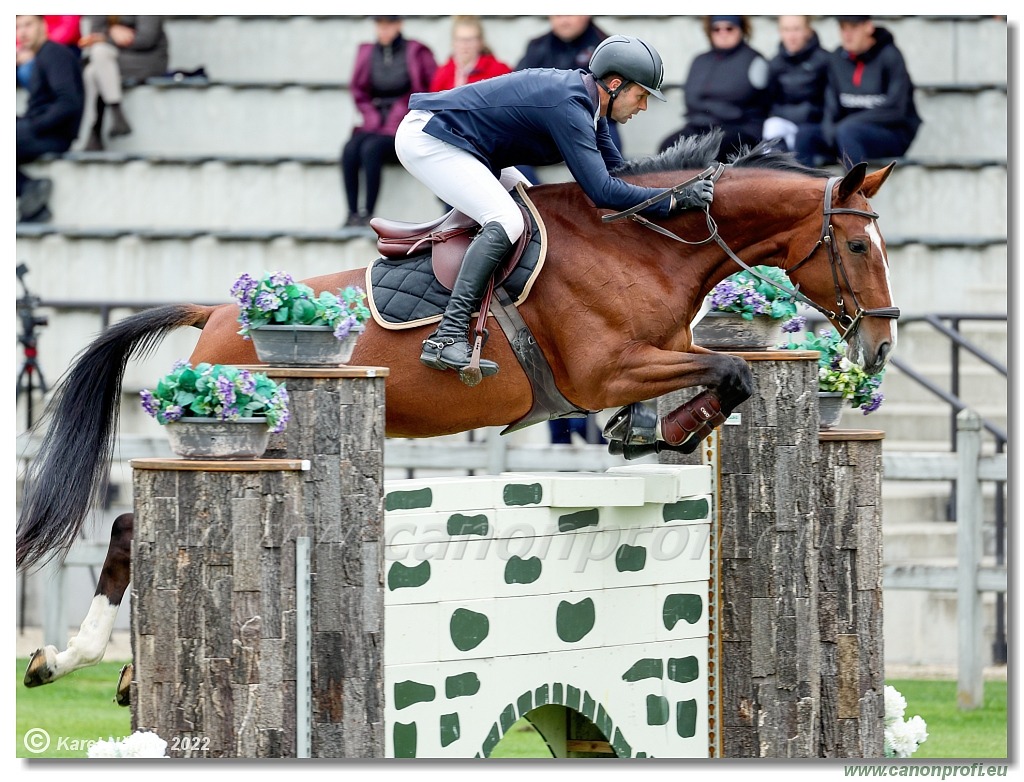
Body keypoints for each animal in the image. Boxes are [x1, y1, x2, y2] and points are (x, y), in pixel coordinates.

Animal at [16, 136, 897, 704]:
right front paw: (669, 429)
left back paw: (113, 673)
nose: (880, 344)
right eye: (857, 247)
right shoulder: (605, 369)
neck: (647, 249)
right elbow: (733, 370)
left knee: (133, 524)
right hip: (264, 428)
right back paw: (67, 661)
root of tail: (220, 312)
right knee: (133, 522)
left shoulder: (650, 359)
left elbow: (723, 374)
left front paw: (652, 431)